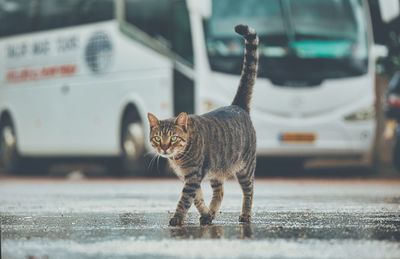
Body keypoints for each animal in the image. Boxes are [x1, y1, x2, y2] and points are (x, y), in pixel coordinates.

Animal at [147, 24, 260, 228]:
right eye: (158, 138)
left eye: (173, 138)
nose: (165, 148)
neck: (178, 158)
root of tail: (237, 105)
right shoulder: (191, 178)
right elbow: (197, 199)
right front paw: (205, 213)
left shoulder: (192, 177)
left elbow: (185, 200)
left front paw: (177, 218)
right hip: (217, 170)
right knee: (220, 191)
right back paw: (211, 214)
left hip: (245, 168)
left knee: (249, 191)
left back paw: (245, 215)